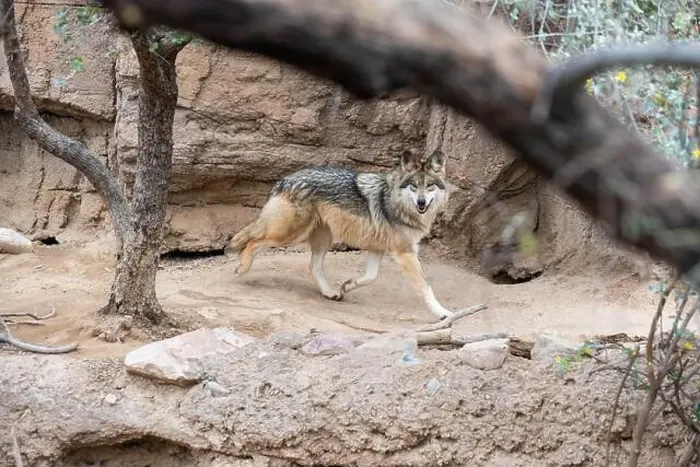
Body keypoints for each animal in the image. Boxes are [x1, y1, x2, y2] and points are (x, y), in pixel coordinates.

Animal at [230, 149, 456, 319]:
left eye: (430, 186)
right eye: (414, 186)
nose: (421, 202)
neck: (395, 201)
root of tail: (284, 180)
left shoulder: (378, 249)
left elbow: (370, 277)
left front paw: (347, 286)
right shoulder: (405, 253)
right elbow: (426, 286)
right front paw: (442, 313)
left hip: (322, 238)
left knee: (313, 266)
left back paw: (330, 292)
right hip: (289, 234)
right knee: (253, 242)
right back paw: (242, 267)